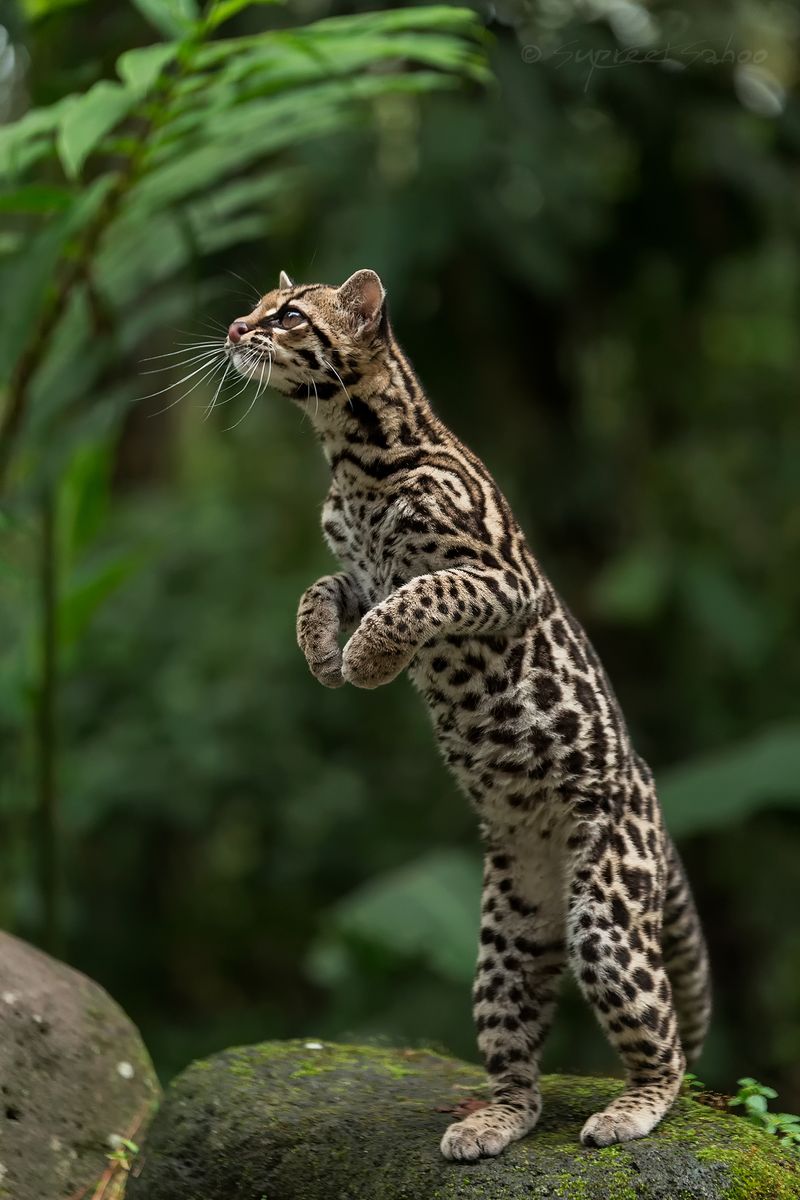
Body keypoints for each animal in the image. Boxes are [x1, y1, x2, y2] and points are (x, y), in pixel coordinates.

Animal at [221, 267, 710, 1156]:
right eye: (260, 307)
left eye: (291, 314)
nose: (236, 328)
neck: (350, 452)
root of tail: (653, 804)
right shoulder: (358, 571)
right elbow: (320, 590)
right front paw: (323, 655)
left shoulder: (496, 579)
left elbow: (419, 598)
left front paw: (365, 662)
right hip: (505, 939)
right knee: (518, 1061)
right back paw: (491, 1120)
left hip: (606, 914)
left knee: (667, 1044)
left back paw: (631, 1108)